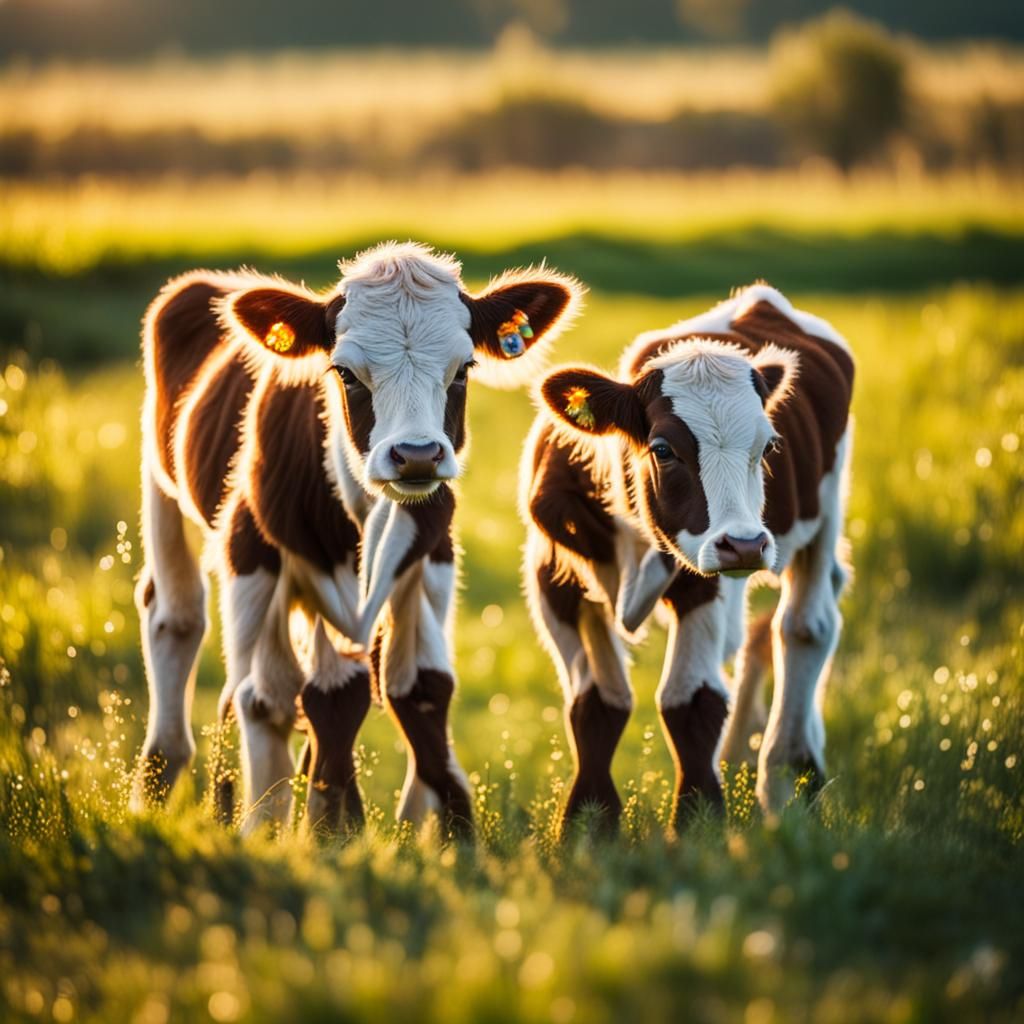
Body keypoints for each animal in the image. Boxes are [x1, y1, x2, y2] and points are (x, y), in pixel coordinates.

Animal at [132, 241, 582, 839]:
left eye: (463, 369)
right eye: (345, 373)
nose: (417, 455)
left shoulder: (433, 558)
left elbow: (419, 688)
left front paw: (434, 832)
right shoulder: (251, 554)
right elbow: (278, 699)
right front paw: (286, 832)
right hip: (162, 489)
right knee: (176, 619)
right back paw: (157, 785)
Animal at [521, 284, 854, 831]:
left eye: (769, 446)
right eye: (662, 448)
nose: (747, 543)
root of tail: (763, 299)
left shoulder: (708, 576)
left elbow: (692, 701)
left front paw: (700, 824)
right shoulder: (554, 577)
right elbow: (596, 704)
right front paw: (588, 826)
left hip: (824, 513)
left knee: (805, 627)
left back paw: (788, 779)